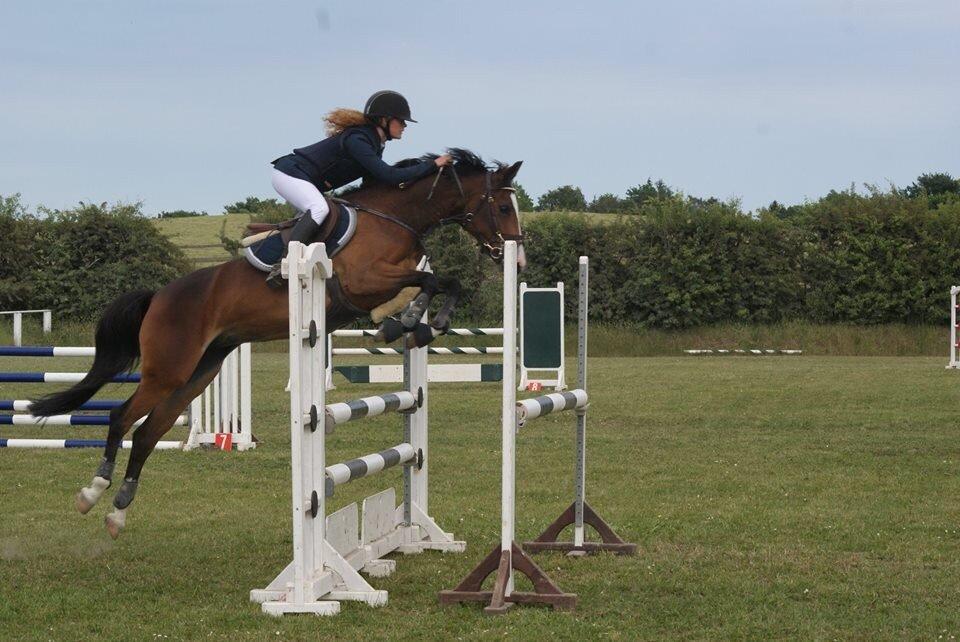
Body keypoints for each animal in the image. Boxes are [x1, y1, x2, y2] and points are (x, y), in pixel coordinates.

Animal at [29, 149, 525, 539]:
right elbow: (435, 279)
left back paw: (117, 514)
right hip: (168, 369)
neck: (394, 218)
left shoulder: (391, 279)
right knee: (121, 418)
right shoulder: (366, 281)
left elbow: (435, 281)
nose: (516, 256)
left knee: (148, 432)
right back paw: (92, 492)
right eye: (503, 206)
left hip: (199, 373)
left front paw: (411, 324)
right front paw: (417, 322)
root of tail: (159, 296)